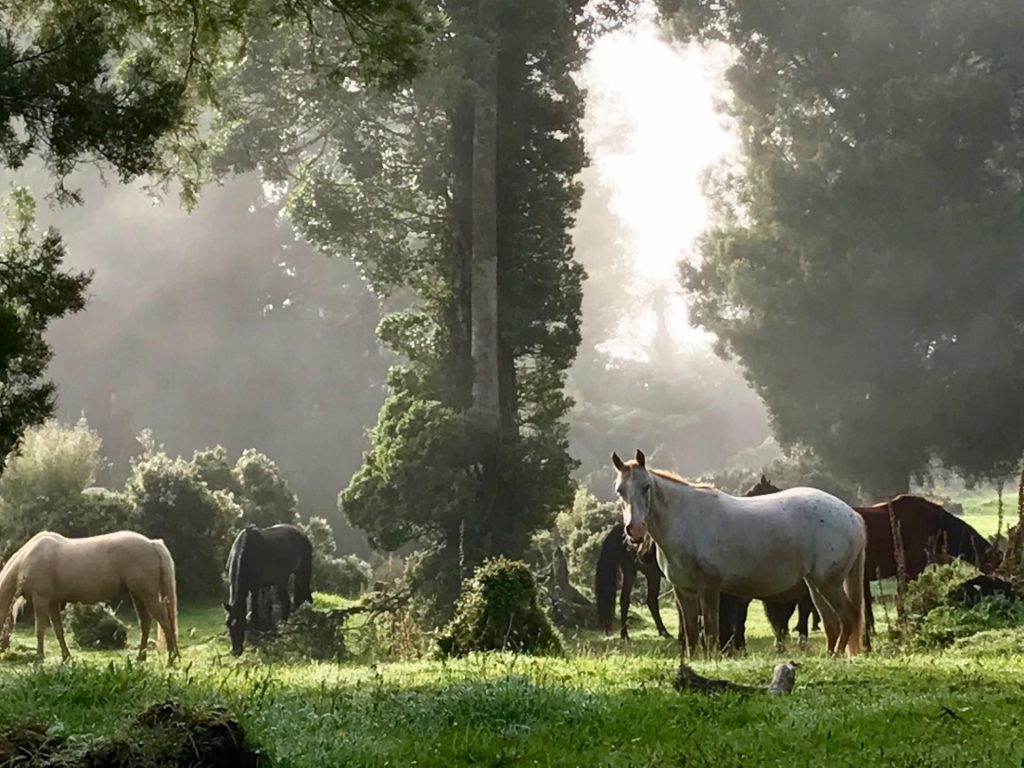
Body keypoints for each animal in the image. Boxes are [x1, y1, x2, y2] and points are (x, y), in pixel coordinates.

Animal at [0, 532, 180, 663]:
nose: (3, 651)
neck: (27, 559)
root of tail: (152, 543)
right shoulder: (52, 603)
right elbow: (58, 630)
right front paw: (66, 657)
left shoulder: (41, 599)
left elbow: (40, 630)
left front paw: (39, 658)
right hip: (137, 595)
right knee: (146, 622)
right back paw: (141, 657)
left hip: (147, 595)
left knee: (164, 622)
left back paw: (171, 659)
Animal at [219, 524, 307, 655]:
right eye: (228, 624)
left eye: (241, 624)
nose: (236, 651)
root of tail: (301, 534)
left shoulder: (254, 588)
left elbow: (254, 612)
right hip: (280, 580)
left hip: (300, 574)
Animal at [610, 454, 868, 659]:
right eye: (619, 491)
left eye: (646, 486)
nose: (634, 531)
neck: (686, 519)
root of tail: (852, 516)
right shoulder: (683, 591)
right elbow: (691, 633)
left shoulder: (710, 588)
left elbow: (710, 631)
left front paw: (712, 660)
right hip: (815, 586)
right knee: (832, 623)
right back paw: (830, 655)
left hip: (828, 584)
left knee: (848, 617)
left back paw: (836, 655)